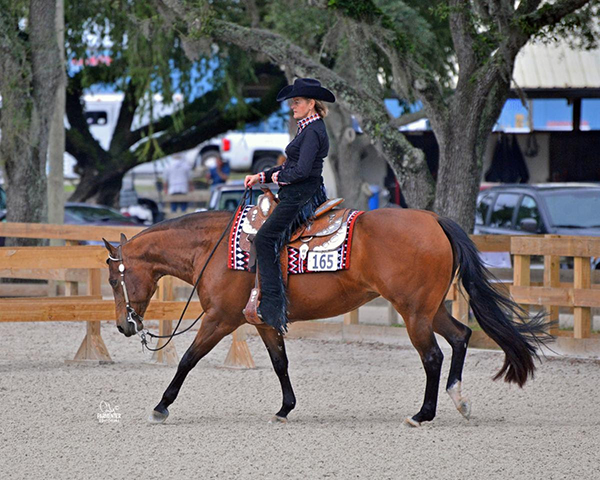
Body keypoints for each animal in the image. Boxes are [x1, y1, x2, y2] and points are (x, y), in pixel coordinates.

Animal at [104, 208, 548, 426]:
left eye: (112, 278)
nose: (125, 326)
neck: (216, 248)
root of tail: (433, 219)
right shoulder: (263, 322)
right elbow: (280, 363)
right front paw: (285, 408)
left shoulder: (220, 319)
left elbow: (186, 360)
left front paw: (161, 406)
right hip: (430, 308)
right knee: (460, 337)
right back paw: (459, 400)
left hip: (414, 312)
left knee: (433, 356)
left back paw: (423, 414)